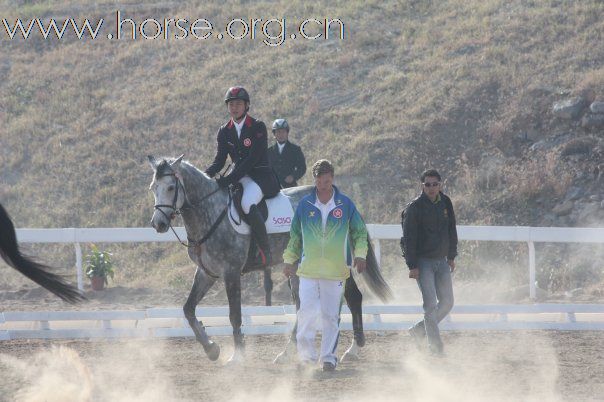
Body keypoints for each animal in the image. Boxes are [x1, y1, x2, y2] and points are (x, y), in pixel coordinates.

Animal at [148, 155, 390, 362]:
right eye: (153, 188)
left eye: (171, 187)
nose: (158, 224)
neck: (210, 211)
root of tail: (344, 202)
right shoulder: (207, 273)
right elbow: (188, 309)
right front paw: (211, 348)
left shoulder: (231, 272)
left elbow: (234, 315)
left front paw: (237, 356)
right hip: (298, 268)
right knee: (302, 306)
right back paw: (287, 353)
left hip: (335, 264)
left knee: (353, 297)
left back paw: (353, 349)